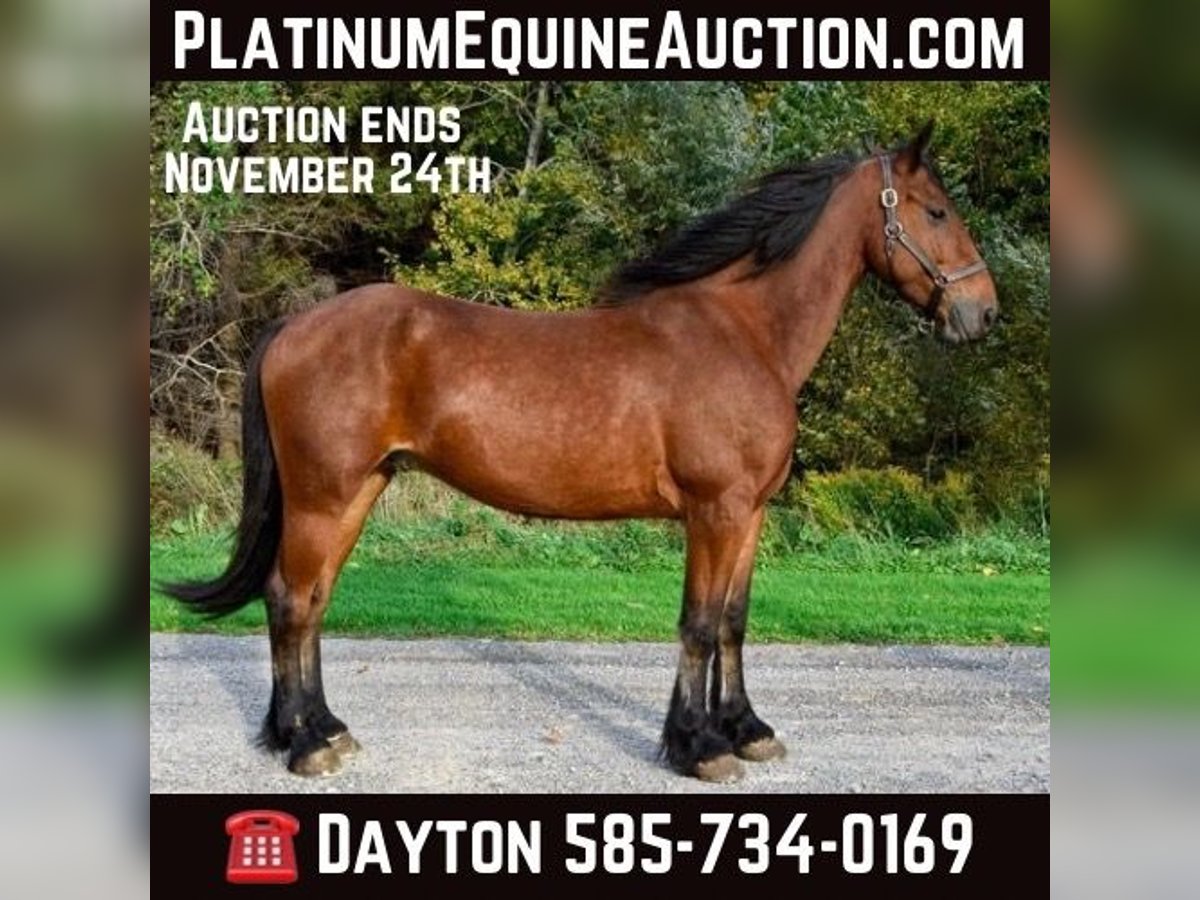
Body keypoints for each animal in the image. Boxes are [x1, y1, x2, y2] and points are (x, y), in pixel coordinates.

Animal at [165, 122, 998, 782]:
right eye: (935, 210)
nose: (982, 312)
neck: (743, 332)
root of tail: (293, 327)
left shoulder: (749, 514)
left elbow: (734, 620)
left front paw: (747, 731)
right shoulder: (715, 511)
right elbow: (699, 625)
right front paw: (699, 748)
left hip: (358, 490)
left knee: (309, 603)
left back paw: (323, 730)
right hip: (322, 495)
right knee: (289, 600)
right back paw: (306, 745)